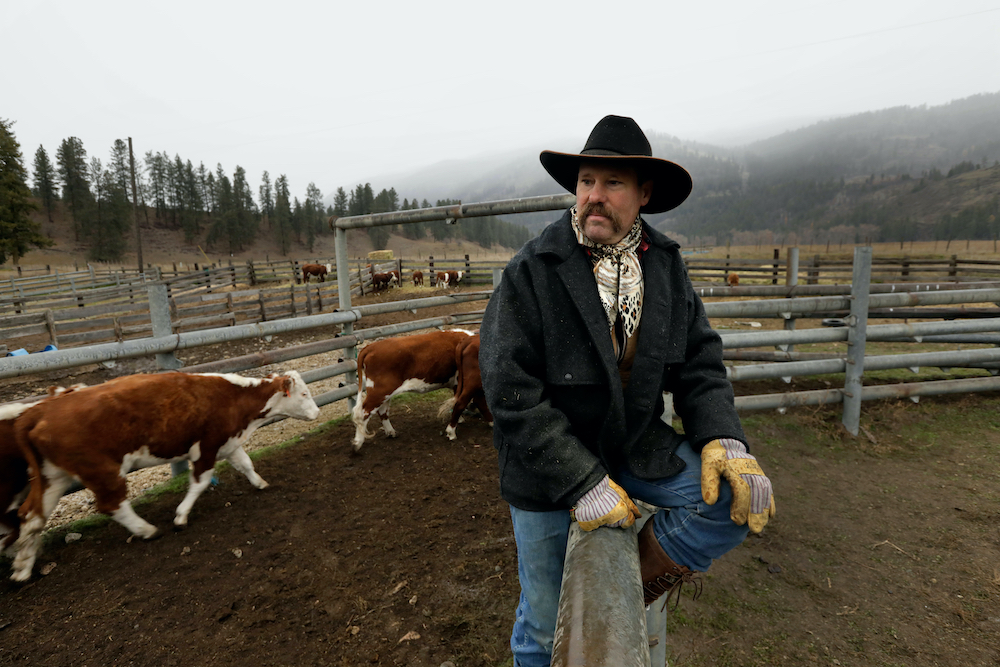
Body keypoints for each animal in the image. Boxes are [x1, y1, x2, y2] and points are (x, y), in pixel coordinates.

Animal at [9, 368, 316, 580]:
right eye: (304, 394)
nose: (316, 412)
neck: (233, 398)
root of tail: (39, 411)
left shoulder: (228, 443)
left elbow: (246, 463)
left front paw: (261, 483)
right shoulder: (206, 447)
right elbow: (200, 482)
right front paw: (180, 517)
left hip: (52, 477)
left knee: (31, 516)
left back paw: (22, 568)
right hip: (102, 470)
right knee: (111, 504)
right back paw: (147, 530)